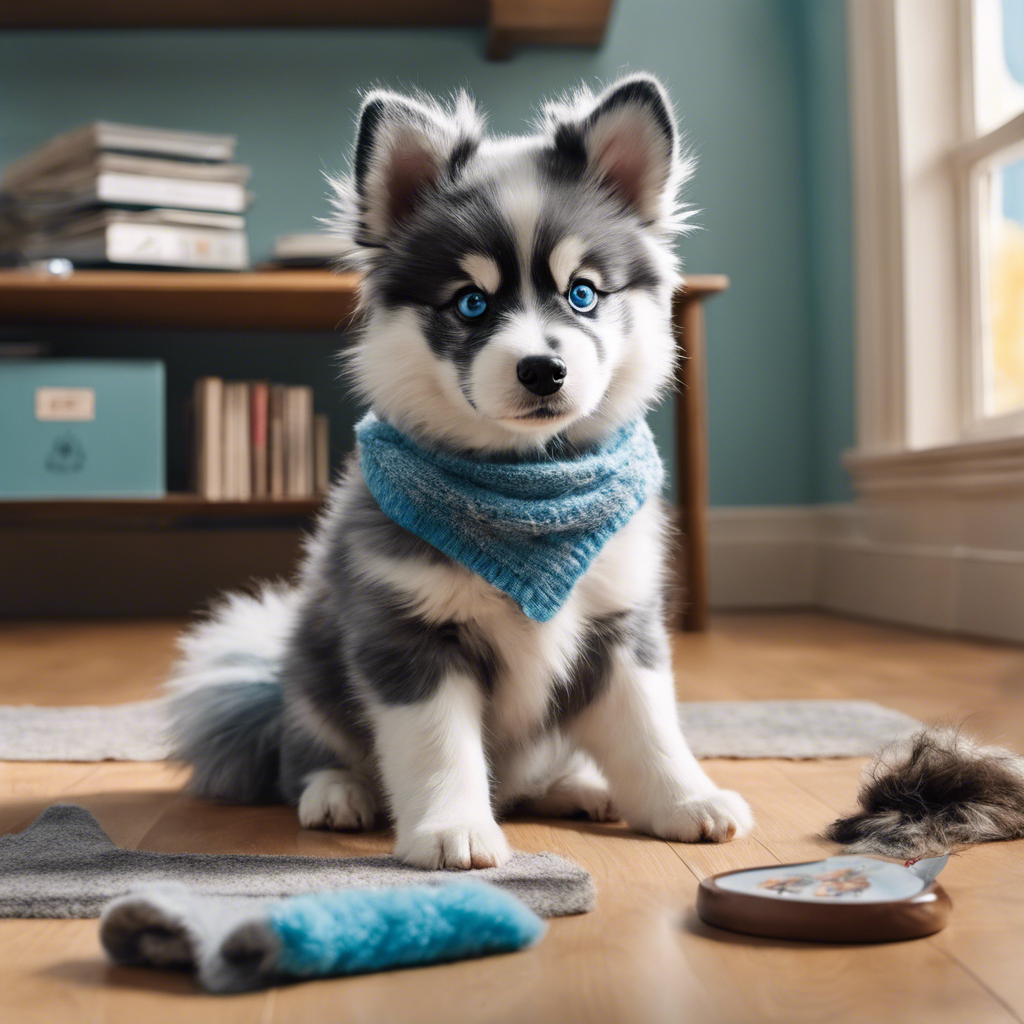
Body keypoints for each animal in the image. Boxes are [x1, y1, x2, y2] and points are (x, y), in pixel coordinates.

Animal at [169, 75, 753, 868]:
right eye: (471, 303)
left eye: (583, 293)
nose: (542, 370)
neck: (529, 490)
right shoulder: (406, 635)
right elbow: (438, 748)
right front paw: (452, 830)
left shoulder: (620, 622)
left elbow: (649, 729)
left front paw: (684, 800)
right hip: (311, 672)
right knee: (308, 752)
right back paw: (338, 794)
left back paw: (579, 787)